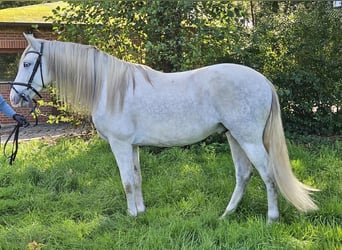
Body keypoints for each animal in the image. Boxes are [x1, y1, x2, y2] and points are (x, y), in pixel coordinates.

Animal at [9, 33, 318, 223]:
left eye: (27, 63)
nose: (14, 98)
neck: (108, 87)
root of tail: (263, 81)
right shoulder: (132, 146)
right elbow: (136, 178)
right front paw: (141, 212)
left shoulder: (120, 144)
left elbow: (127, 181)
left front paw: (132, 217)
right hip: (234, 137)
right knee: (244, 174)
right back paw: (226, 215)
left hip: (249, 138)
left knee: (268, 174)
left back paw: (271, 219)